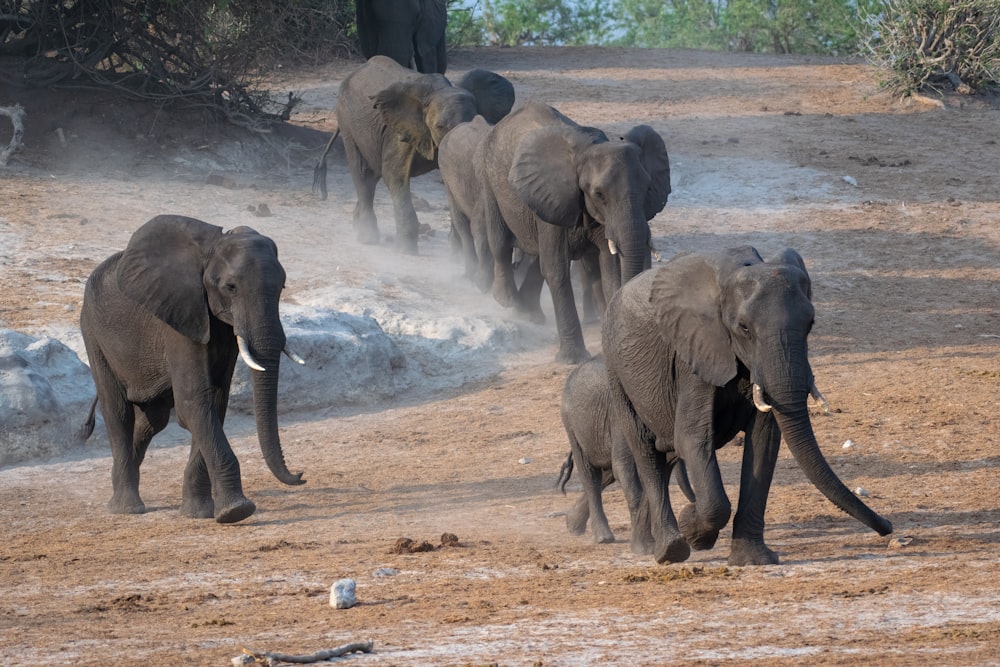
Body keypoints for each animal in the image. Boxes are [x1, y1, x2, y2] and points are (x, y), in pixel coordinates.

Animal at [79, 217, 304, 524]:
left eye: (282, 287)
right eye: (231, 287)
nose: (300, 475)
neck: (211, 249)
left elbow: (214, 403)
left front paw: (199, 513)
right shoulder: (181, 316)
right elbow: (194, 403)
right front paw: (237, 512)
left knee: (154, 419)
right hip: (93, 332)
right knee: (118, 411)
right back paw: (127, 507)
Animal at [312, 56, 516, 256]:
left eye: (473, 119)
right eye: (439, 126)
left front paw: (456, 256)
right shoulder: (399, 132)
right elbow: (394, 176)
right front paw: (405, 252)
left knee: (372, 175)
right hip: (347, 120)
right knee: (363, 172)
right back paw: (367, 238)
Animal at [476, 102, 672, 366]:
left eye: (648, 188)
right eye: (599, 194)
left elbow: (609, 266)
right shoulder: (553, 196)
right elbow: (556, 268)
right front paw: (572, 360)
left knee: (536, 259)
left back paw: (528, 313)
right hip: (489, 177)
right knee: (501, 241)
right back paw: (506, 301)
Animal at [596, 248, 896, 568]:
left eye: (811, 323)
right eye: (744, 328)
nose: (888, 527)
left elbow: (763, 442)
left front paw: (752, 560)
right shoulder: (694, 353)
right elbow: (692, 437)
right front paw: (693, 529)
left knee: (666, 457)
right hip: (616, 371)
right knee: (646, 452)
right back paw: (669, 551)